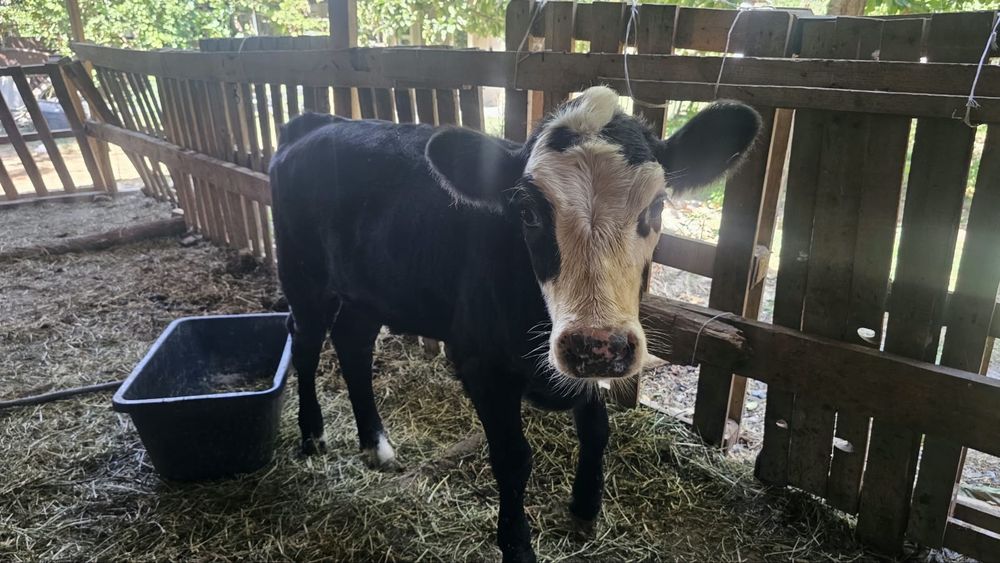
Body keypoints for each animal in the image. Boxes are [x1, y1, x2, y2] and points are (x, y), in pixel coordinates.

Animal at [270, 86, 761, 562]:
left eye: (657, 206)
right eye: (528, 213)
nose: (598, 344)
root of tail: (317, 123)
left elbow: (597, 428)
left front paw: (585, 509)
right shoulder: (480, 363)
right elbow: (512, 458)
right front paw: (517, 545)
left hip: (369, 289)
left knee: (352, 343)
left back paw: (376, 445)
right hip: (303, 275)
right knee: (304, 340)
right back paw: (312, 435)